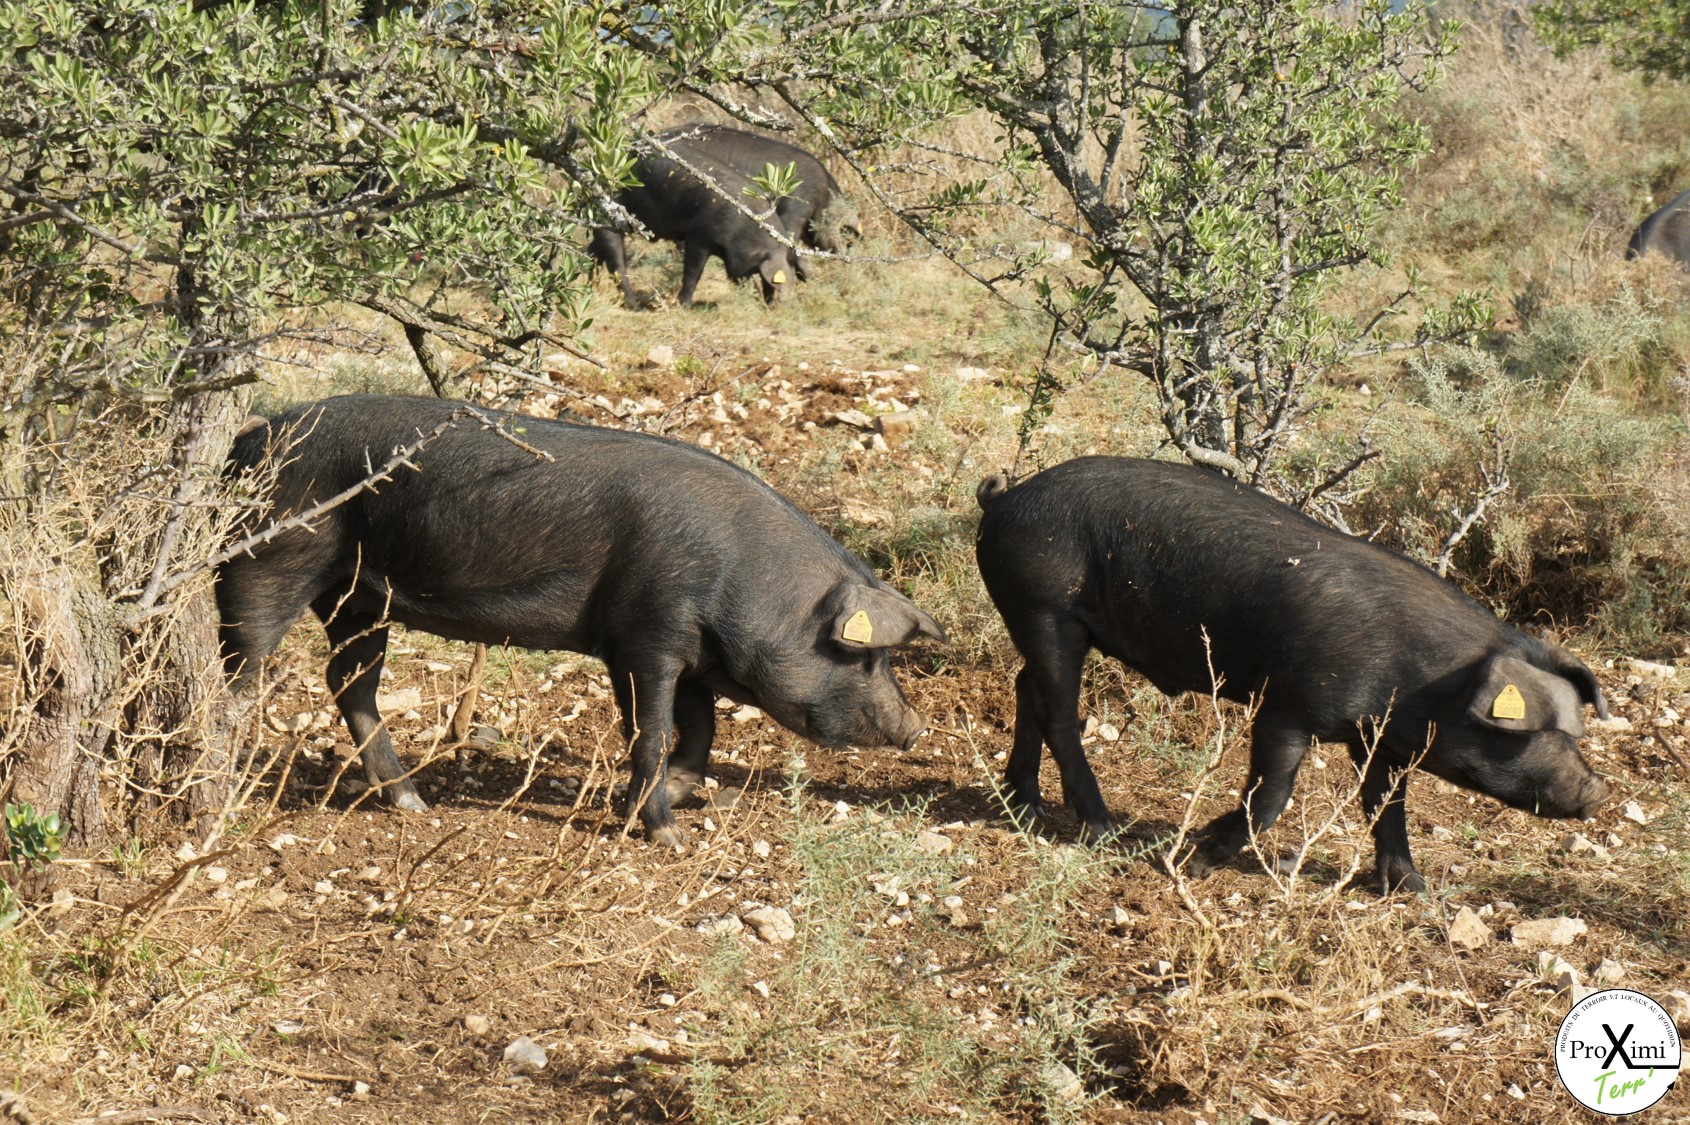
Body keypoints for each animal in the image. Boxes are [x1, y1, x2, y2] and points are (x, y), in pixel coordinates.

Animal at [218, 393, 946, 841]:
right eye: (862, 654)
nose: (916, 727)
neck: (745, 582)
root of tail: (248, 442)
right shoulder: (647, 637)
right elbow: (652, 730)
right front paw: (667, 834)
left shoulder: (681, 648)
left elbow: (700, 728)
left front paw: (676, 793)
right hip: (269, 560)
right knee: (239, 672)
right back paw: (225, 780)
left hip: (359, 597)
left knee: (349, 681)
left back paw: (411, 800)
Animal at [973, 452, 1602, 885]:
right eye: (1532, 731)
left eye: (1574, 730)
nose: (1596, 790)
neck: (1419, 679)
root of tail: (1003, 499)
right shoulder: (1287, 706)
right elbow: (1272, 794)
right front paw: (1196, 859)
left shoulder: (1378, 738)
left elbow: (1387, 803)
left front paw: (1413, 889)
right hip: (1046, 609)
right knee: (1058, 714)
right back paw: (1106, 832)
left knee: (1026, 687)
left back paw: (1026, 805)